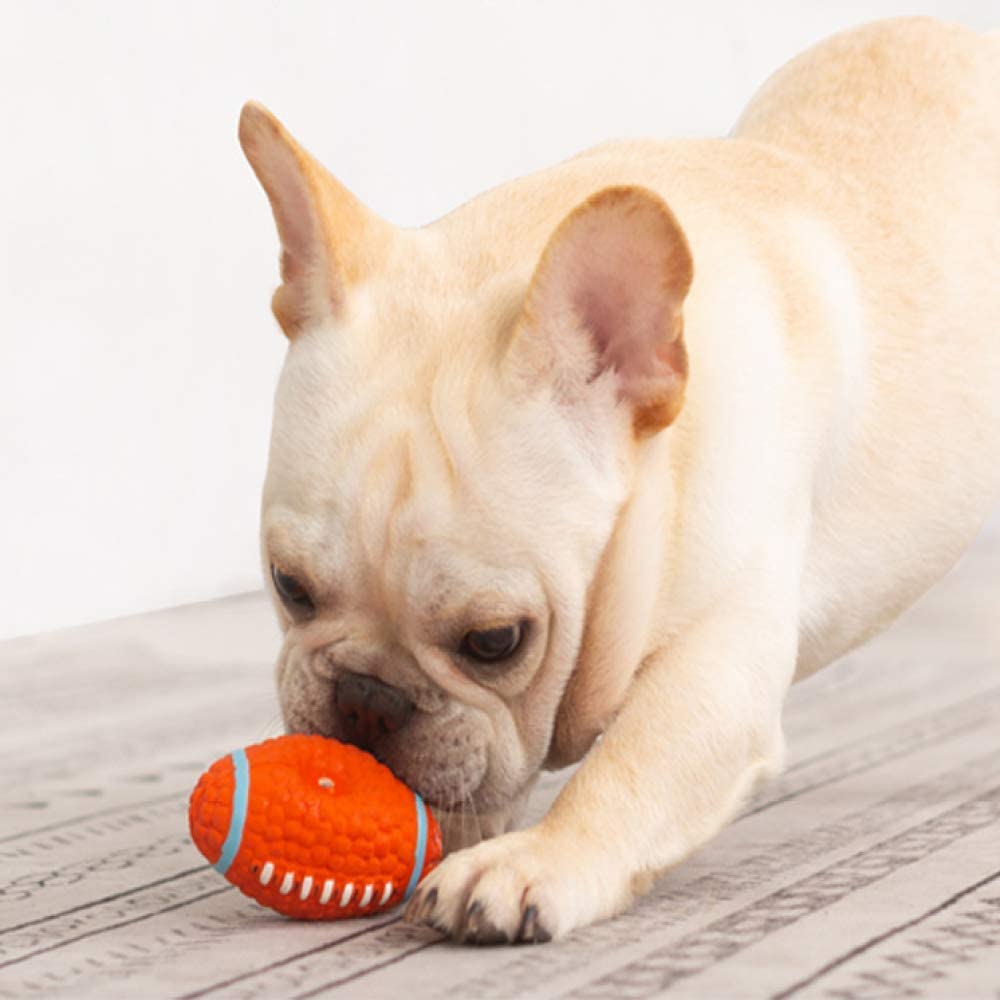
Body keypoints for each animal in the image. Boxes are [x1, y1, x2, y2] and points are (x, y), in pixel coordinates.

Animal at [236, 17, 1000, 944]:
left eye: (497, 641)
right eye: (289, 585)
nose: (366, 700)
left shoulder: (716, 664)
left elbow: (631, 768)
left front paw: (532, 861)